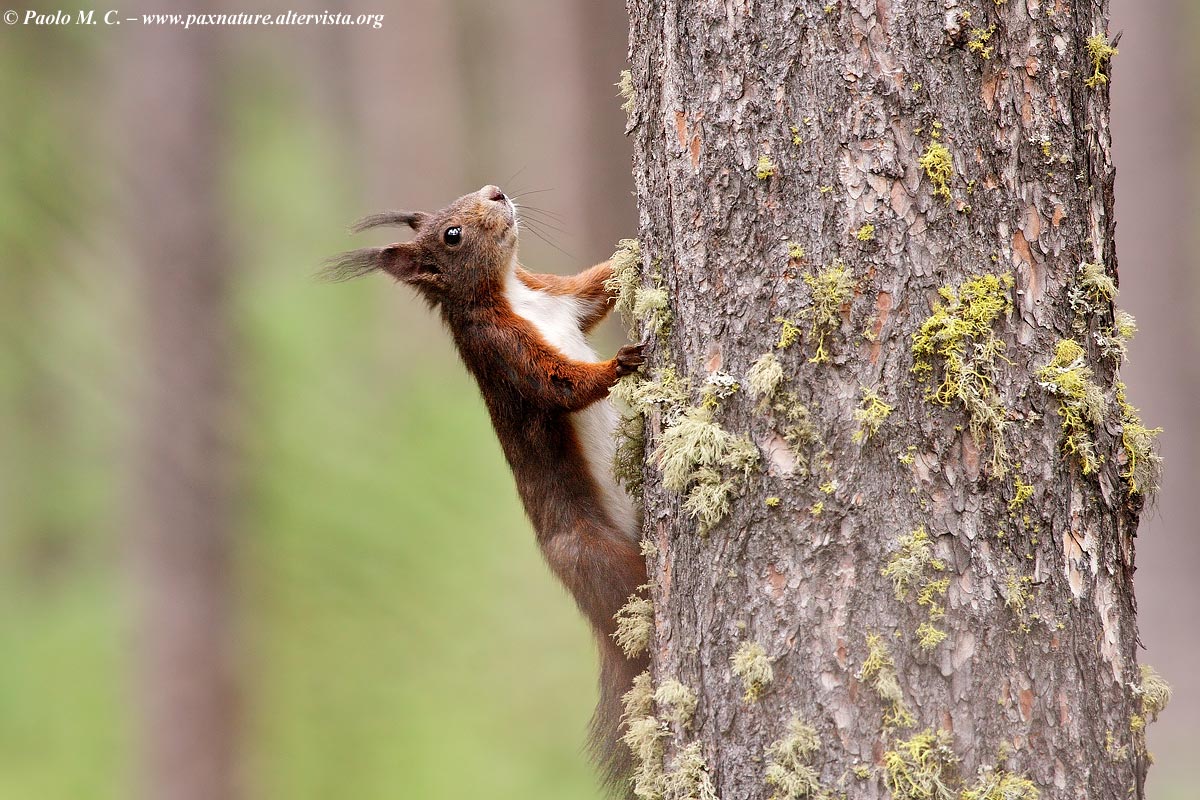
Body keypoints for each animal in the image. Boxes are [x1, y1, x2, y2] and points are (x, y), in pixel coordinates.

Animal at [326, 184, 648, 789]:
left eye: (467, 196)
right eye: (451, 235)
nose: (495, 192)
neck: (513, 294)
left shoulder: (559, 295)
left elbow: (595, 289)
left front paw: (633, 252)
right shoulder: (502, 350)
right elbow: (559, 386)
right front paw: (618, 365)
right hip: (591, 554)